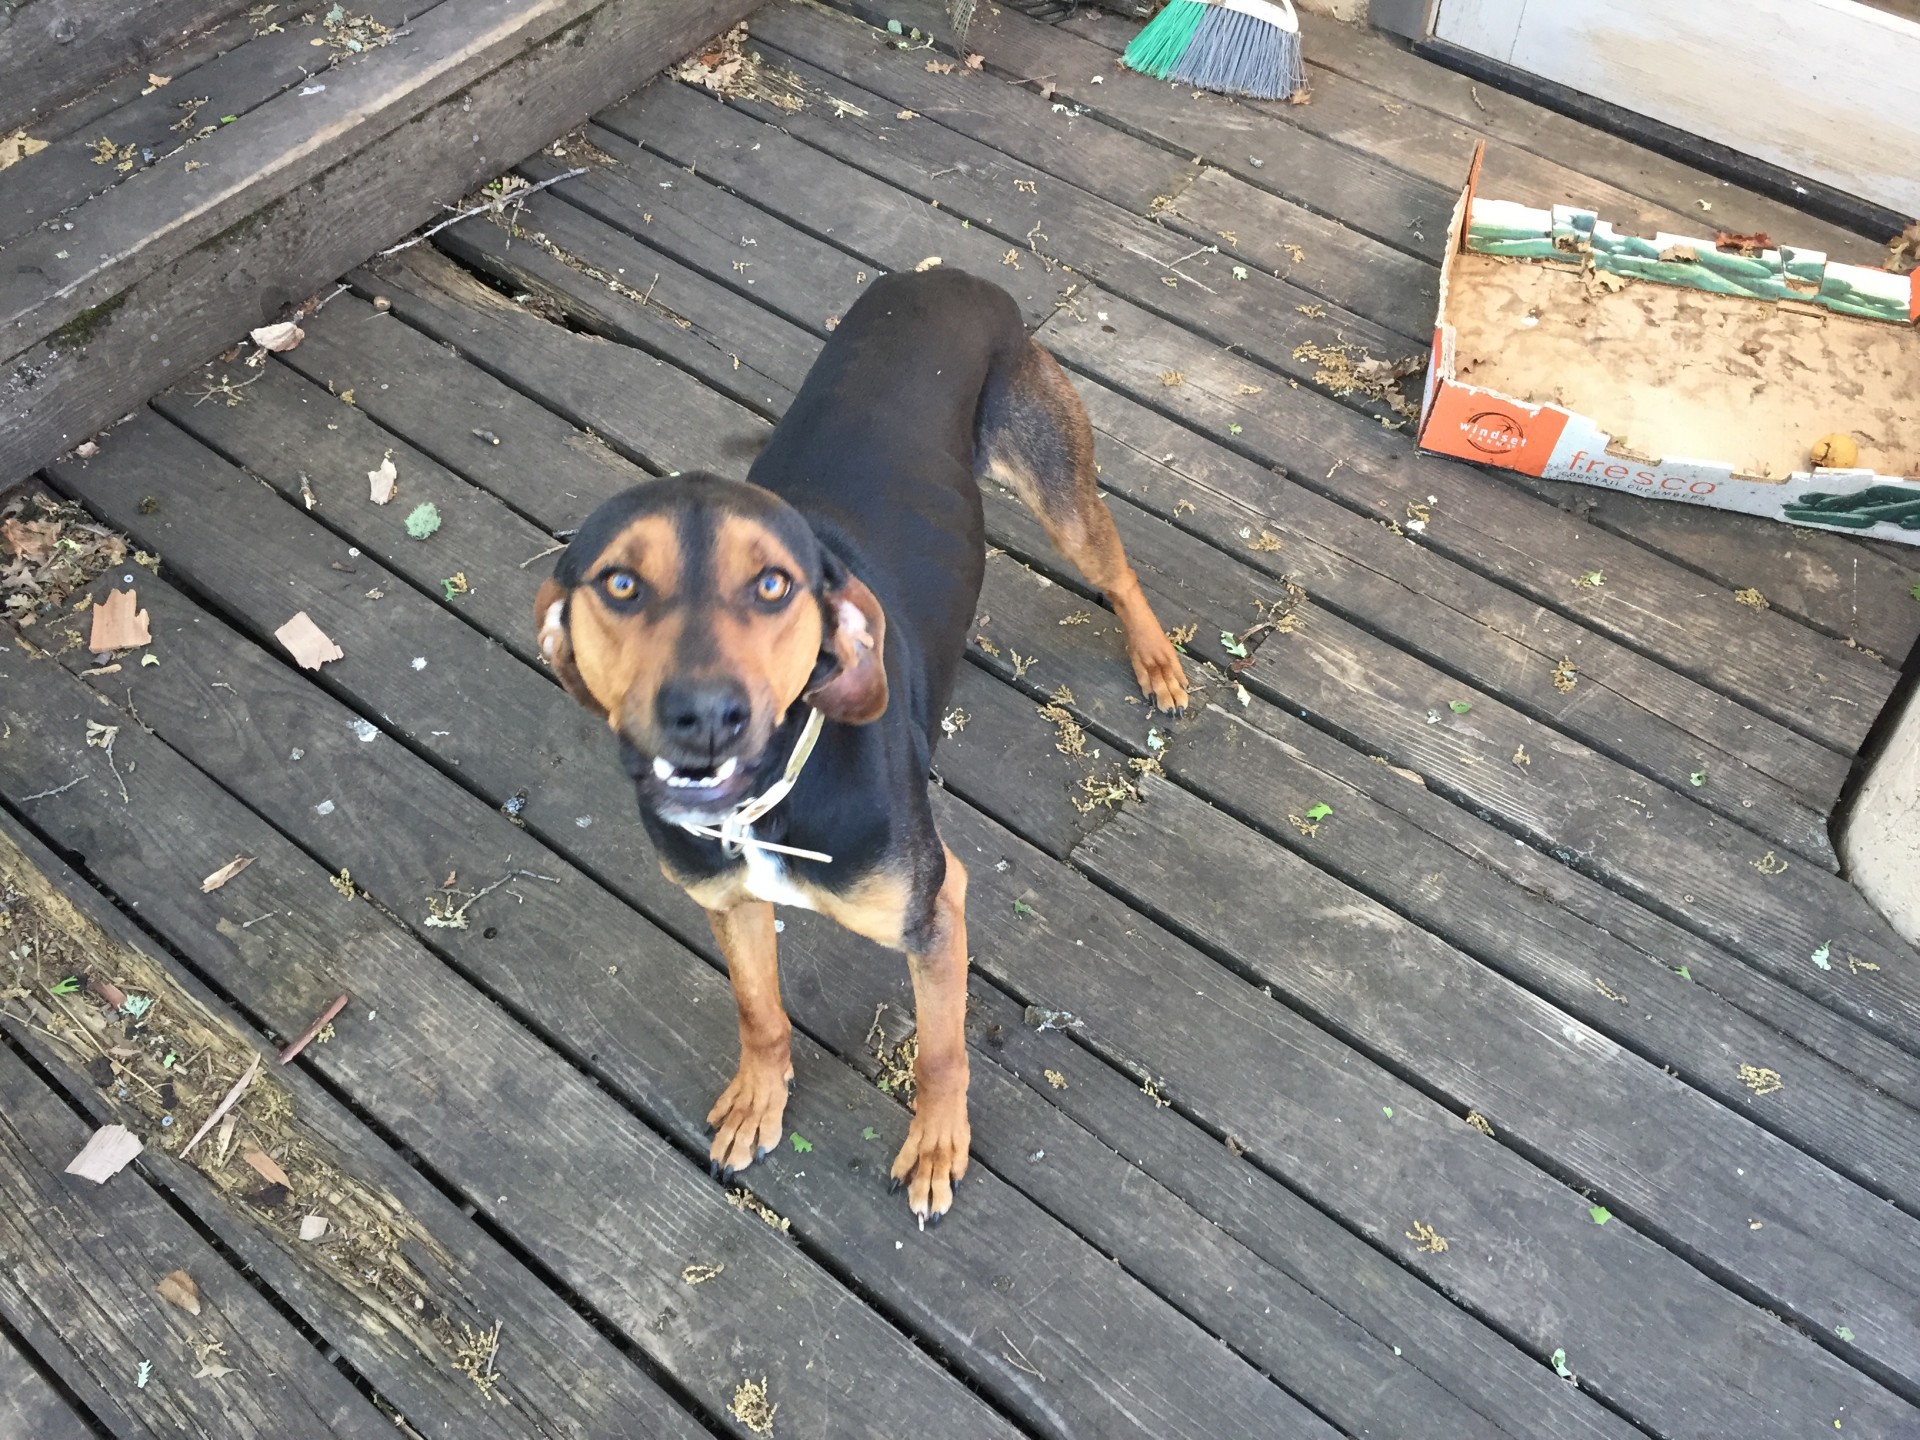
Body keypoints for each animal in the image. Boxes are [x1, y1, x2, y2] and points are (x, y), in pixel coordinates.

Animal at [533, 264, 1175, 1221]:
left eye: (773, 585)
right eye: (618, 584)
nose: (705, 715)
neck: (766, 805)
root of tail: (952, 275)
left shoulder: (935, 912)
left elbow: (942, 1050)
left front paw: (938, 1147)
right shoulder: (729, 904)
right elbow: (759, 1011)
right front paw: (759, 1100)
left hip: (1059, 485)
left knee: (1118, 570)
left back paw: (1158, 662)